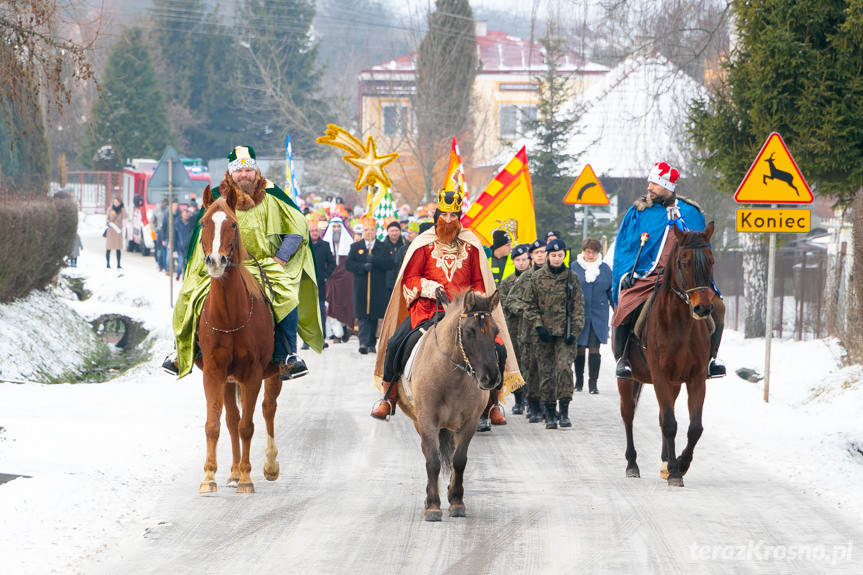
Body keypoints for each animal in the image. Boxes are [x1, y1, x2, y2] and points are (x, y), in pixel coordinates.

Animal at [194, 190, 282, 496]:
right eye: (204, 223)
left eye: (232, 224)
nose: (215, 261)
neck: (231, 318)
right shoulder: (213, 372)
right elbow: (214, 424)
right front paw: (209, 477)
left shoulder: (252, 374)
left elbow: (248, 426)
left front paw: (246, 478)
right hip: (228, 381)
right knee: (231, 419)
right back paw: (231, 473)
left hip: (273, 374)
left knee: (267, 410)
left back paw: (268, 466)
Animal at [396, 292, 502, 520]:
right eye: (469, 332)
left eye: (496, 331)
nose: (490, 378)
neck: (449, 376)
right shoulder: (427, 420)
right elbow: (432, 460)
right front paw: (433, 506)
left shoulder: (469, 422)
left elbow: (459, 460)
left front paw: (457, 502)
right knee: (428, 451)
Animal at [620, 220, 716, 486]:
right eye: (684, 262)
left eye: (711, 260)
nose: (702, 308)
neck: (679, 325)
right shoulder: (660, 375)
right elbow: (671, 425)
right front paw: (674, 471)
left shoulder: (695, 379)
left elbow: (694, 427)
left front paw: (680, 464)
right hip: (629, 379)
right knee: (628, 414)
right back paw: (632, 464)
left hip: (674, 384)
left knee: (664, 415)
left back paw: (665, 462)